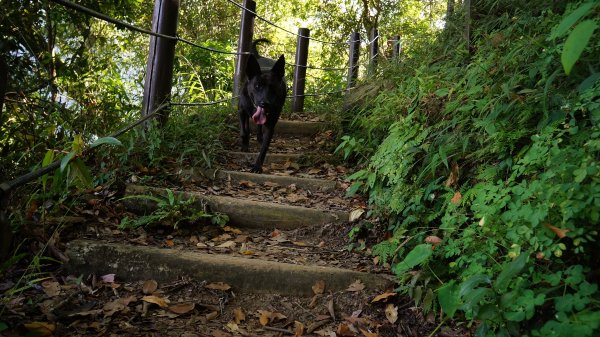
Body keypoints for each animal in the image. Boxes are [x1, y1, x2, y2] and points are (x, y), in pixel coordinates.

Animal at [238, 39, 288, 172]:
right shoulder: (241, 109)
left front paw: (257, 166)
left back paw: (259, 137)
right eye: (257, 86)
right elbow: (244, 130)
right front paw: (245, 145)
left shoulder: (271, 123)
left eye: (273, 88)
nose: (264, 103)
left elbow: (265, 147)